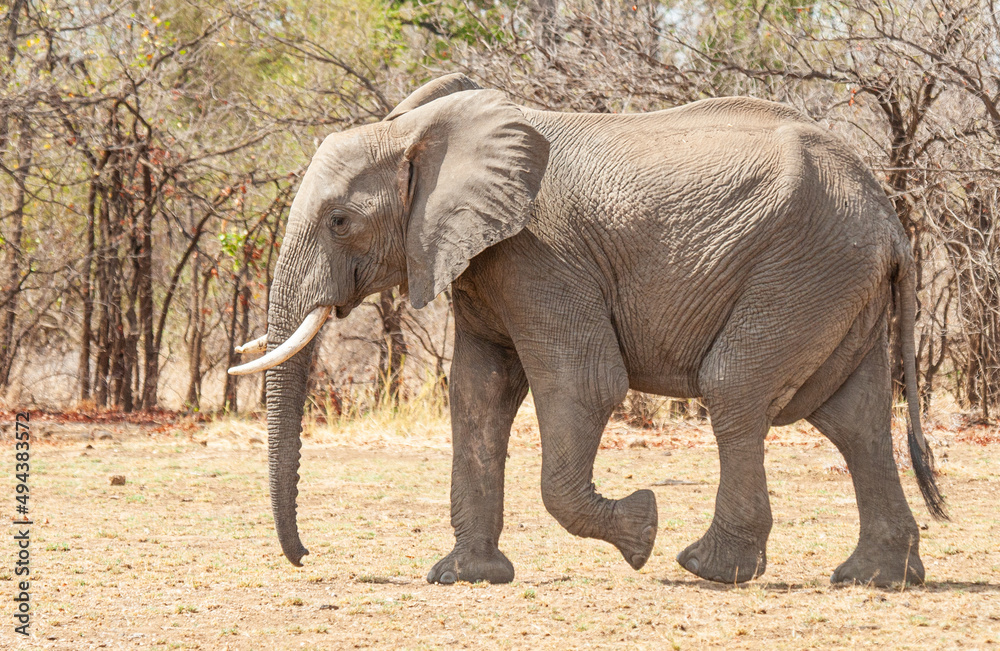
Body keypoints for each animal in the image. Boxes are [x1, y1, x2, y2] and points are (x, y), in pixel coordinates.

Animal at [229, 73, 945, 587]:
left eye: (340, 221)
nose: (305, 557)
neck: (418, 134)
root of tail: (890, 218)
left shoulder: (539, 256)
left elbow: (584, 385)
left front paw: (642, 529)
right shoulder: (488, 268)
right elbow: (478, 397)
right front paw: (464, 578)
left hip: (802, 269)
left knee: (736, 389)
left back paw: (705, 569)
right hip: (836, 282)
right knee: (853, 419)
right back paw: (876, 580)